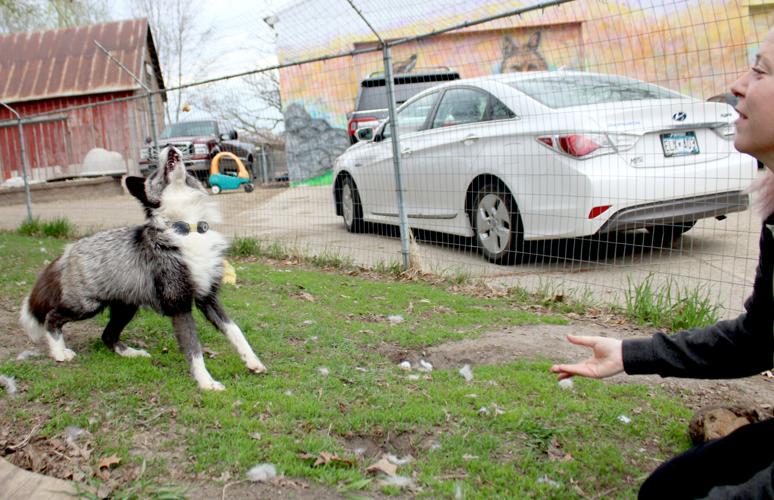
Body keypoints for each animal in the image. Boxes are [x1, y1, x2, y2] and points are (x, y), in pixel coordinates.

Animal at [19, 146, 266, 390]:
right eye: (155, 171)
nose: (171, 147)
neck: (187, 227)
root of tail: (68, 251)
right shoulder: (179, 304)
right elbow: (194, 349)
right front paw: (206, 382)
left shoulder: (208, 298)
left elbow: (235, 331)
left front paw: (253, 362)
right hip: (86, 306)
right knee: (52, 317)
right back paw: (59, 352)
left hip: (126, 307)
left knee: (107, 336)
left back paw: (131, 353)